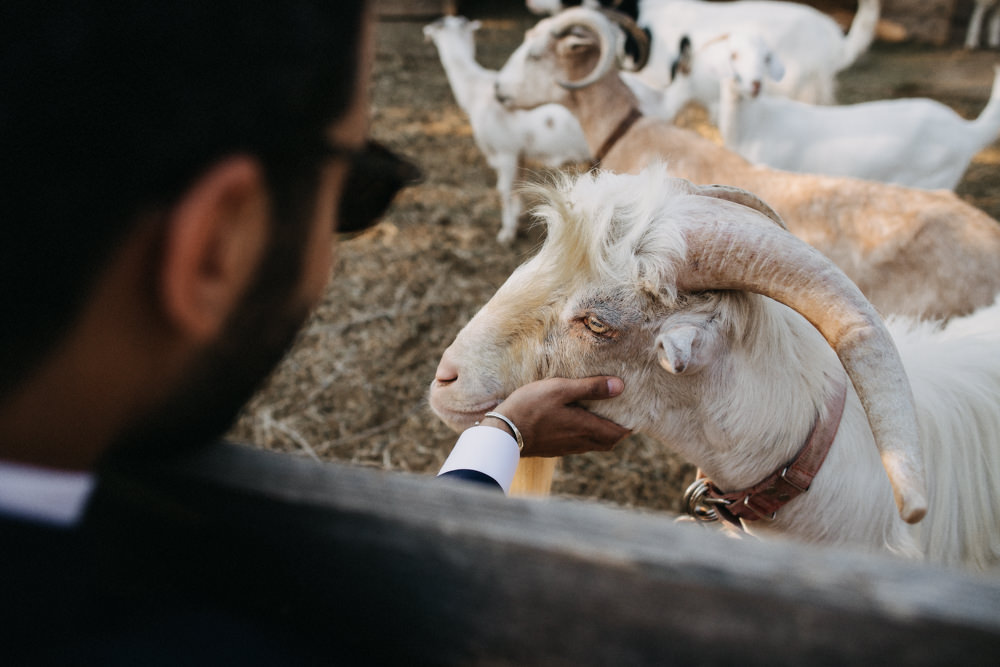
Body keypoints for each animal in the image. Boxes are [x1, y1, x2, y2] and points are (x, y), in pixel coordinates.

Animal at [422, 15, 592, 244]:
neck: (475, 91)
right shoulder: (519, 153)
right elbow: (518, 186)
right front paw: (517, 218)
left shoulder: (505, 151)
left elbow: (504, 190)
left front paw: (506, 233)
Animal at [704, 32, 1000, 190]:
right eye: (733, 55)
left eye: (767, 58)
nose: (755, 84)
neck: (757, 123)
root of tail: (967, 131)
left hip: (932, 180)